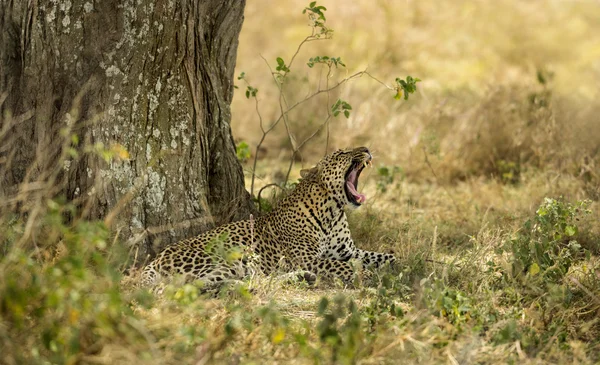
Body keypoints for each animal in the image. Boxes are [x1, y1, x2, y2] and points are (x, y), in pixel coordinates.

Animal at [139, 146, 394, 288]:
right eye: (342, 153)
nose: (367, 148)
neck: (332, 211)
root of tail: (155, 259)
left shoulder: (348, 250)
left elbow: (385, 257)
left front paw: (398, 267)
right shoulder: (308, 258)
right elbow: (343, 266)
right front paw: (369, 276)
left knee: (255, 278)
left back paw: (302, 278)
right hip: (229, 257)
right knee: (191, 286)